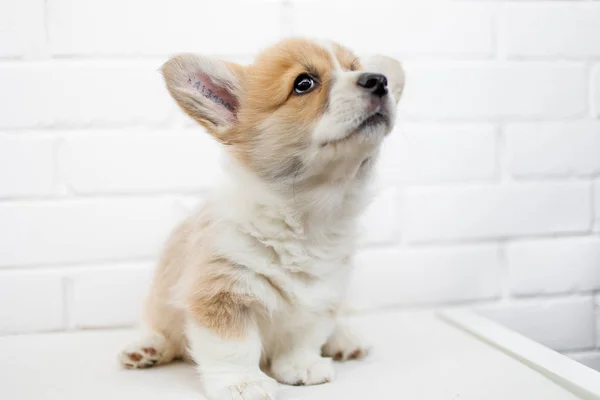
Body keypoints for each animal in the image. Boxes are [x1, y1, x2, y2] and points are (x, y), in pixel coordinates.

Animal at [119, 38, 406, 400]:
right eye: (304, 83)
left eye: (354, 68)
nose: (379, 80)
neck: (306, 216)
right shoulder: (220, 292)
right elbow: (233, 348)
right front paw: (244, 383)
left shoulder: (321, 296)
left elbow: (305, 337)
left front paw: (301, 366)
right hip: (160, 305)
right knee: (157, 326)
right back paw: (145, 348)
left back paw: (345, 340)